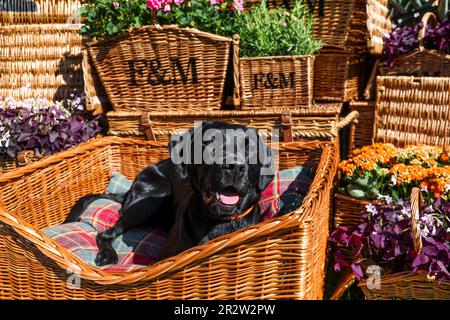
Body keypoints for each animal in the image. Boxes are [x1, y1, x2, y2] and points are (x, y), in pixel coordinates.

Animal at [64, 121, 274, 266]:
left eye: (250, 147)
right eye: (209, 143)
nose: (234, 166)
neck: (218, 222)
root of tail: (129, 190)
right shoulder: (163, 256)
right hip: (153, 197)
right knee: (106, 233)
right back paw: (108, 254)